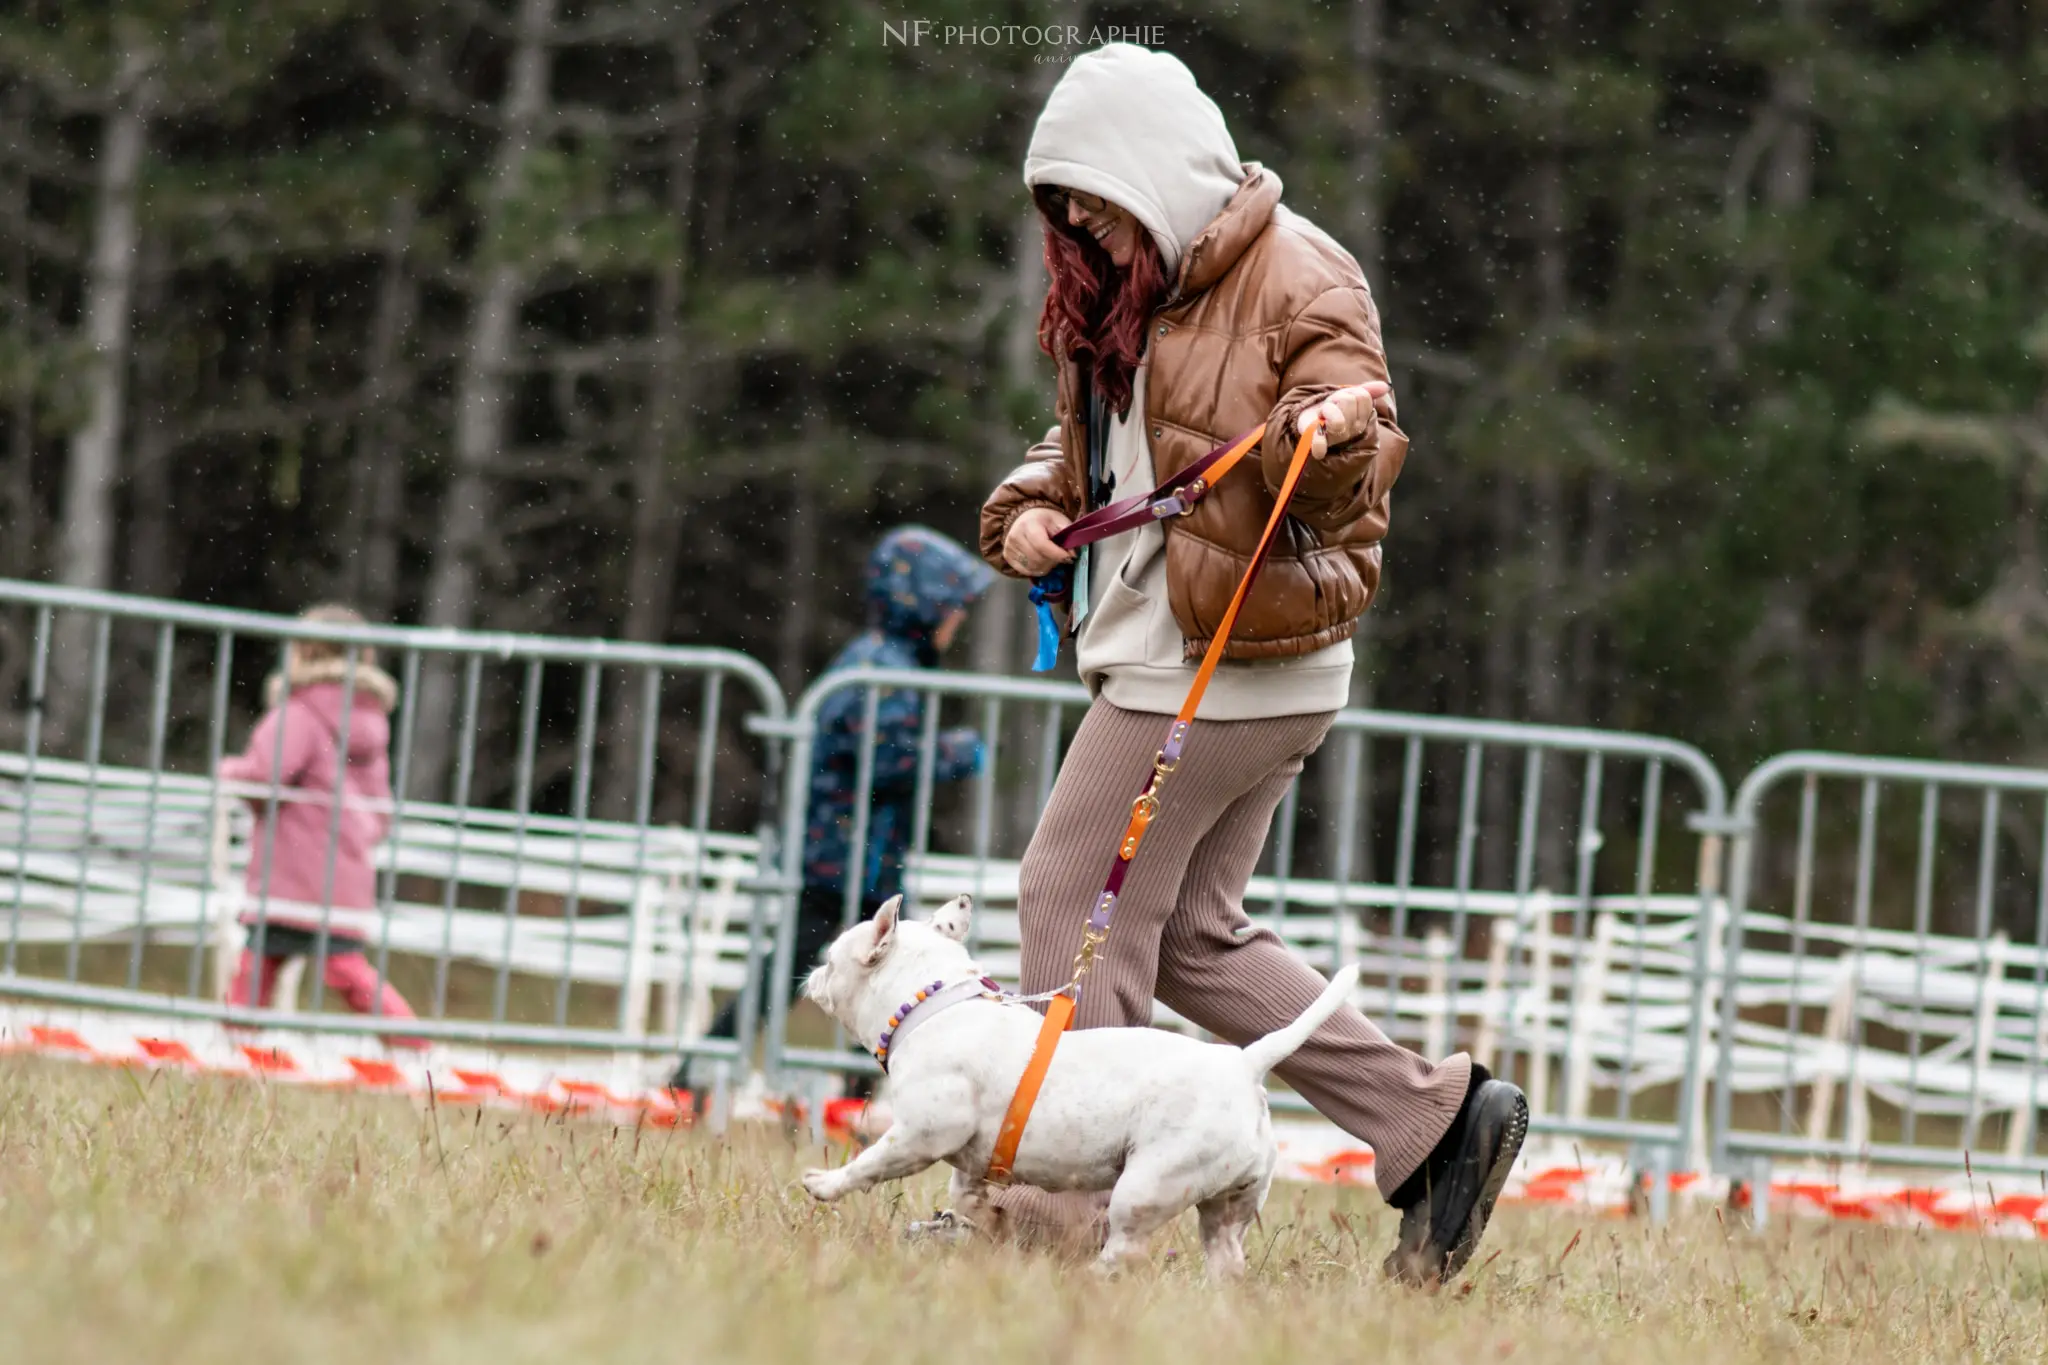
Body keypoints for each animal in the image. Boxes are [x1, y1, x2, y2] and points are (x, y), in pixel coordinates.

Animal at [798, 896, 1359, 1285]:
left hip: (1147, 1186)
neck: (930, 1004)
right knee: (1227, 1259)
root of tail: (1245, 1064)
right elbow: (967, 1193)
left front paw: (825, 1183)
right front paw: (979, 1224)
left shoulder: (923, 1132)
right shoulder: (970, 1156)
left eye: (833, 960)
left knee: (1124, 1250)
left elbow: (871, 1161)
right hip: (1229, 1205)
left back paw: (1082, 1281)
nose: (810, 971)